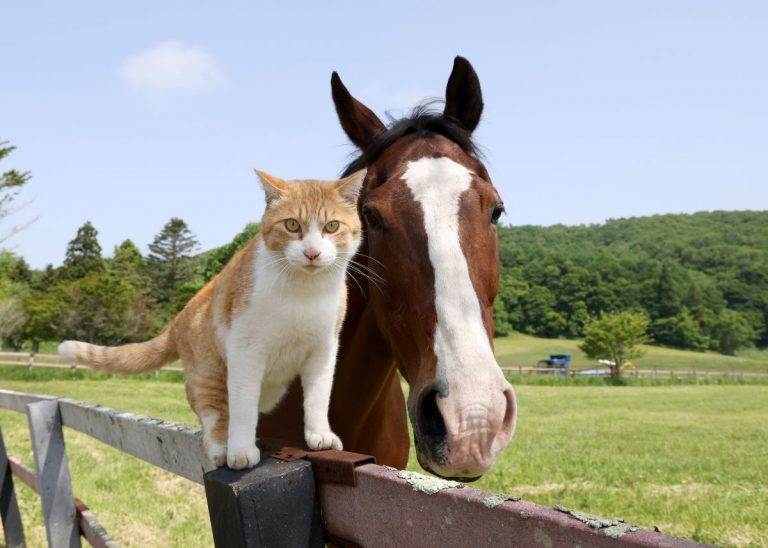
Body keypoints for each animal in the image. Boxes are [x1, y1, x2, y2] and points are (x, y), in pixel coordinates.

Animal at [58, 169, 364, 468]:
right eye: (291, 225)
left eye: (331, 227)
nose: (312, 253)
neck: (303, 291)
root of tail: (179, 318)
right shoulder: (245, 351)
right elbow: (243, 406)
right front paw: (240, 451)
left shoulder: (323, 350)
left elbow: (318, 398)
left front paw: (319, 435)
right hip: (210, 374)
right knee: (207, 405)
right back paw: (220, 446)